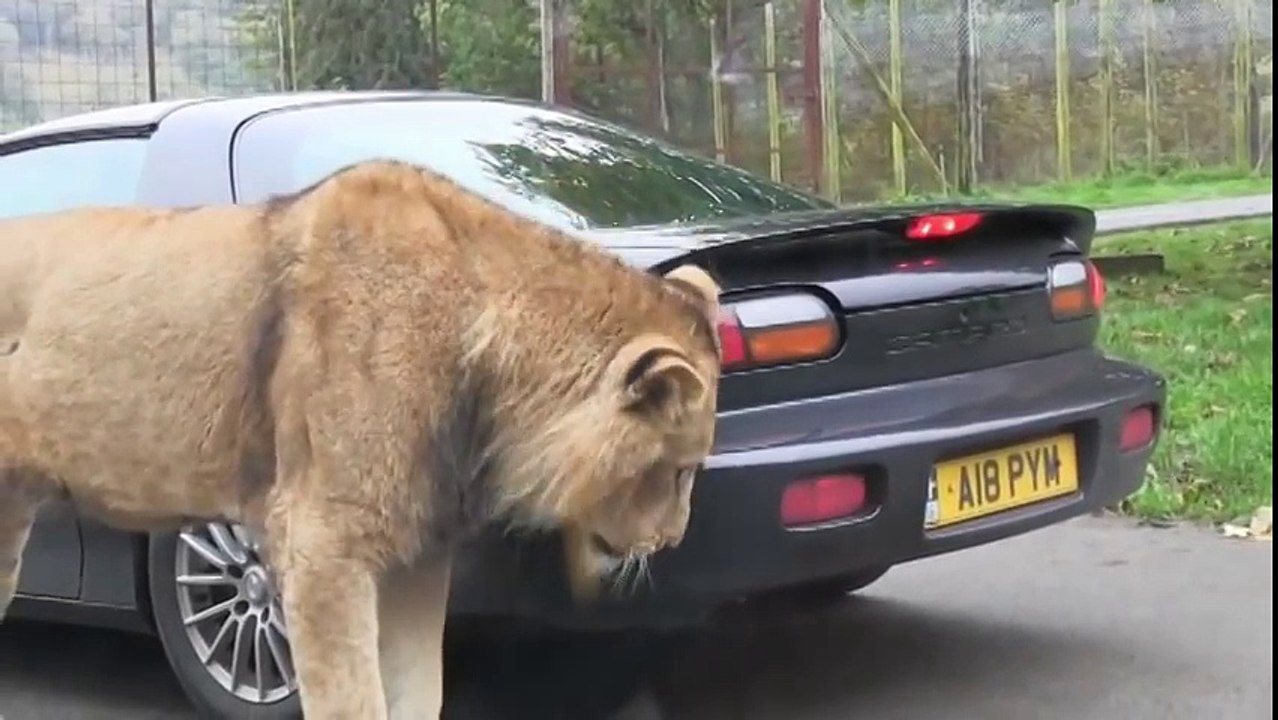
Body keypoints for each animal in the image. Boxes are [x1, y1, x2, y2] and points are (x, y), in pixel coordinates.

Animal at [0, 159, 722, 720]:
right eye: (681, 471)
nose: (672, 541)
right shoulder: (323, 546)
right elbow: (352, 700)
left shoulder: (417, 557)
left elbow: (419, 692)